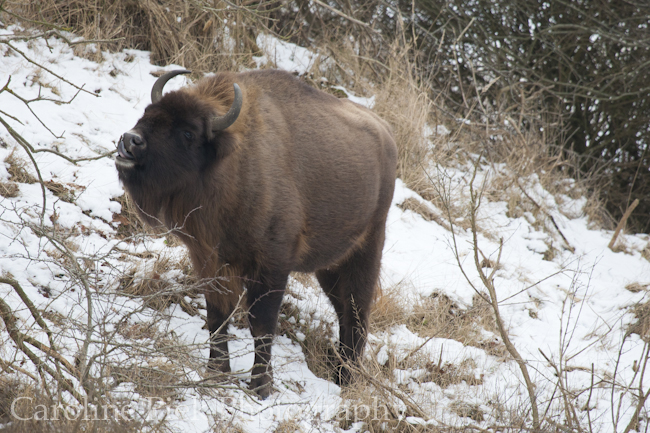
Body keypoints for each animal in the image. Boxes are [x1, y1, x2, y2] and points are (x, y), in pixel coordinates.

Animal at [114, 68, 398, 398]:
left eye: (188, 133)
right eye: (149, 113)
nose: (130, 141)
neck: (234, 161)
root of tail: (387, 135)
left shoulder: (272, 267)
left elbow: (261, 325)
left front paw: (261, 386)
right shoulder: (211, 261)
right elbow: (217, 316)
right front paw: (216, 372)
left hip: (365, 252)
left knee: (357, 315)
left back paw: (346, 379)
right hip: (329, 267)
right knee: (344, 313)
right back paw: (340, 374)